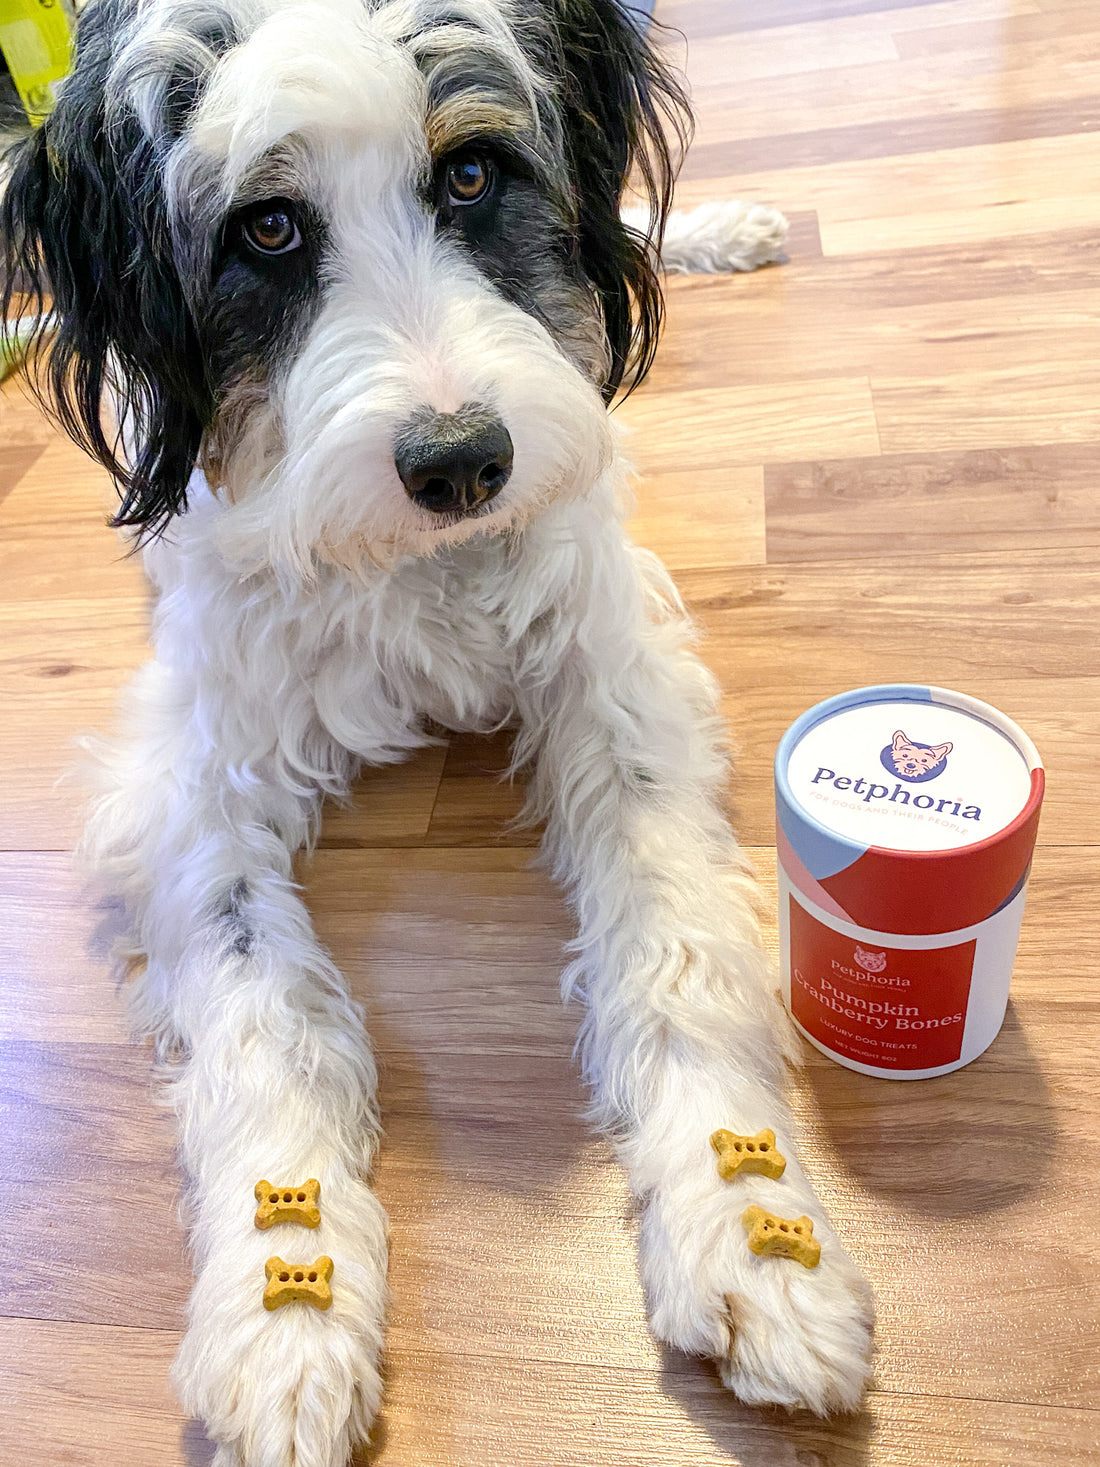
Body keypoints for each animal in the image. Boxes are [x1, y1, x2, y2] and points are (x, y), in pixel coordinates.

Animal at [2, 0, 880, 1461]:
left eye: (469, 173)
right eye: (266, 229)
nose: (465, 459)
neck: (420, 568)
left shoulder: (610, 667)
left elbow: (679, 947)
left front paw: (756, 1233)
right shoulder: (189, 782)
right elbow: (266, 1006)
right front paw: (285, 1308)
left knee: (618, 230)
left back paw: (715, 227)